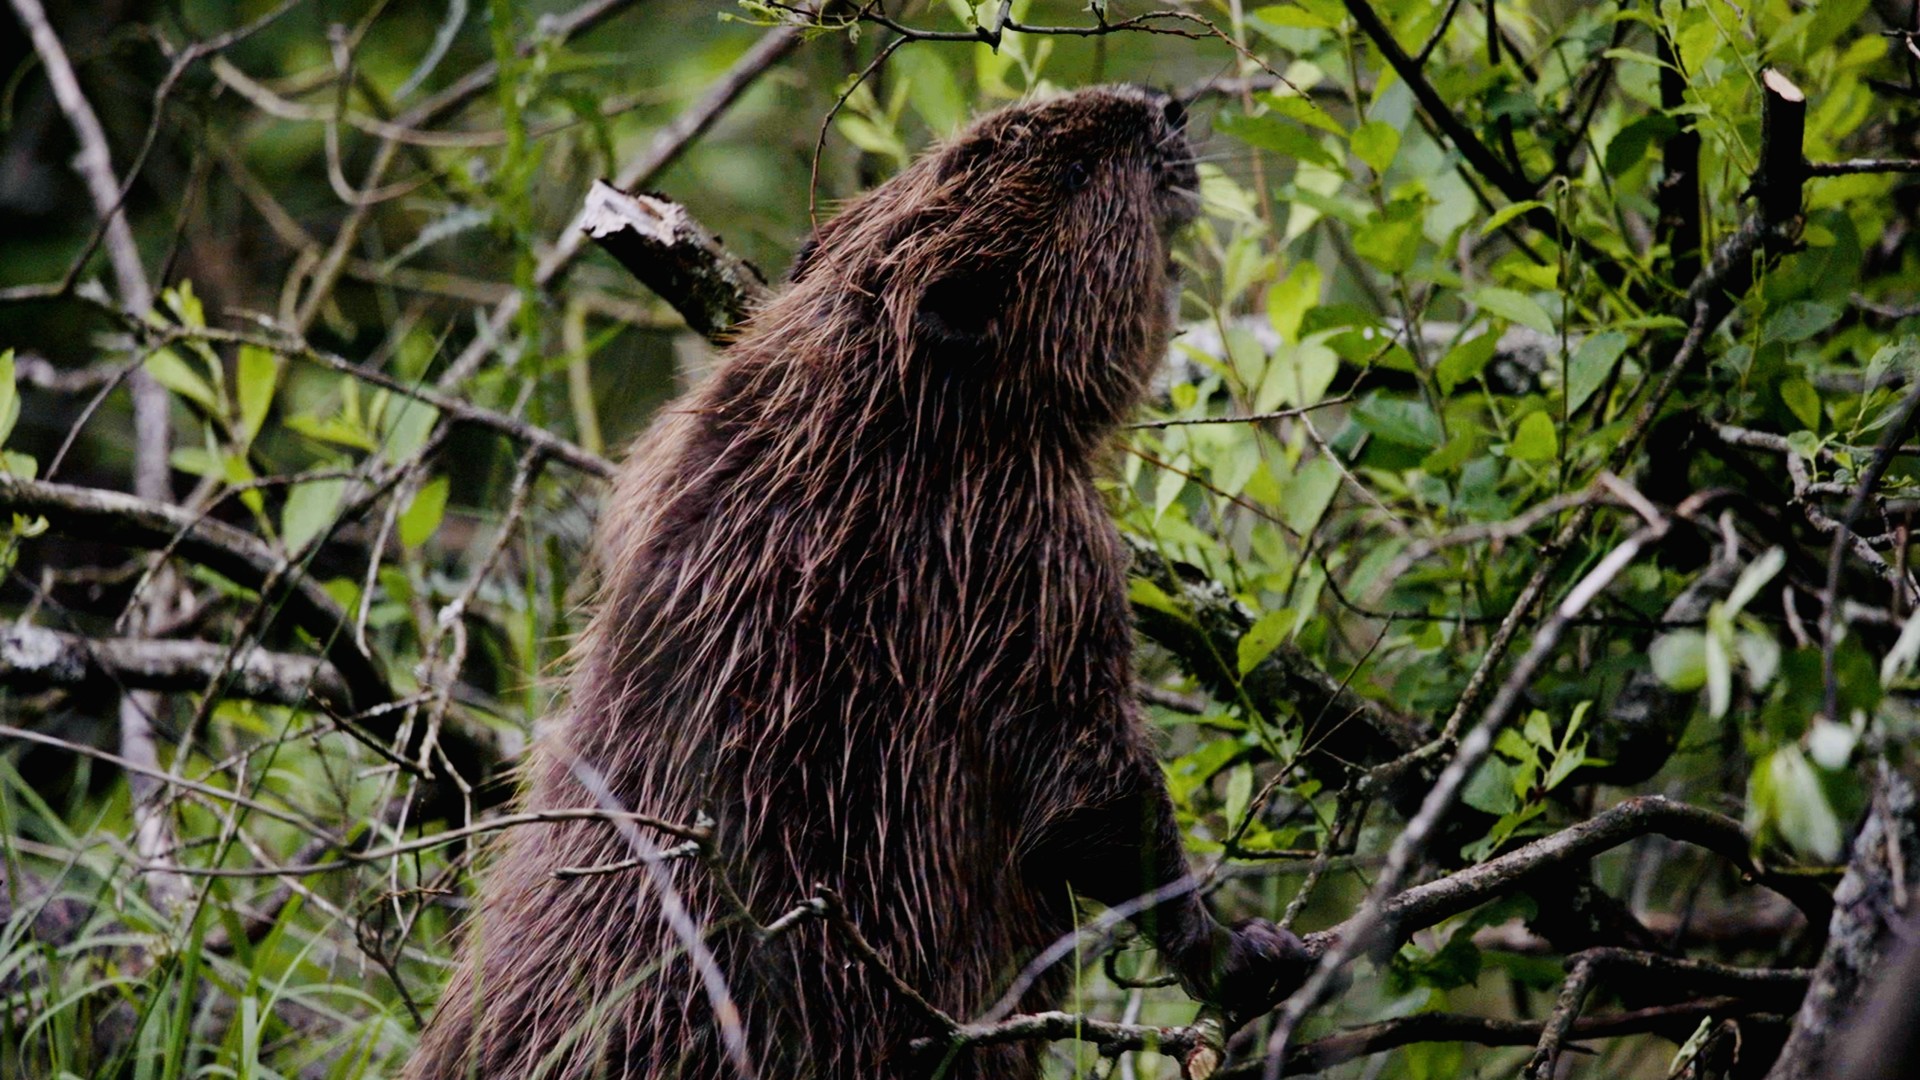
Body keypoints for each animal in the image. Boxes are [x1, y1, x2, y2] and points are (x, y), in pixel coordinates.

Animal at [405, 85, 1305, 1076]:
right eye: (1074, 171)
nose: (1166, 106)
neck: (876, 418)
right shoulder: (1032, 552)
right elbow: (1089, 786)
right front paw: (1243, 953)